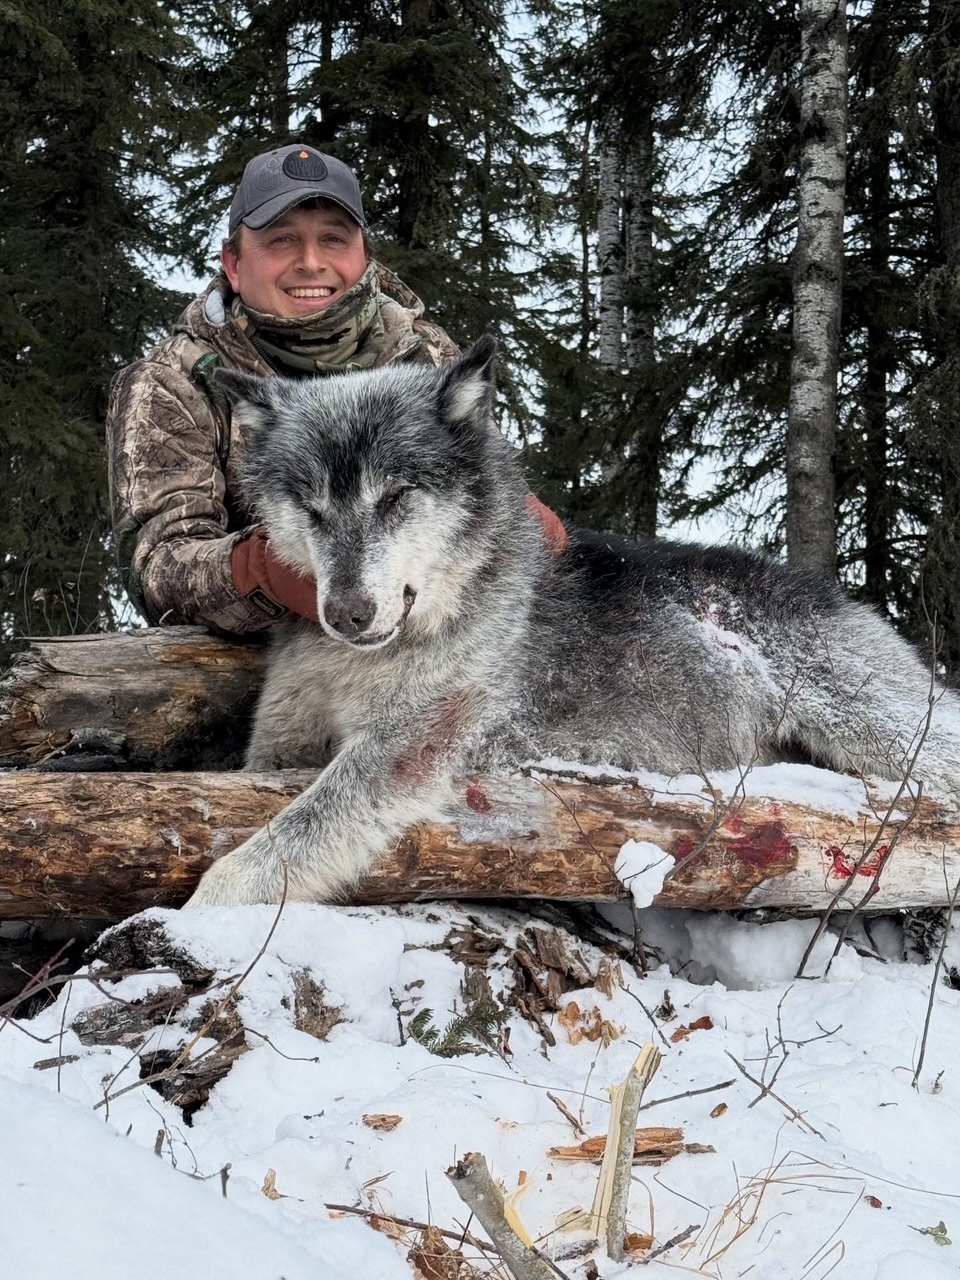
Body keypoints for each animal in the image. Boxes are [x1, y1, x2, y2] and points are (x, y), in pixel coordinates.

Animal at [186, 337, 960, 906]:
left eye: (397, 497)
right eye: (311, 508)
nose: (348, 613)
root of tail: (836, 594)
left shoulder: (404, 747)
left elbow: (285, 838)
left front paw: (200, 911)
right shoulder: (279, 744)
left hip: (881, 733)